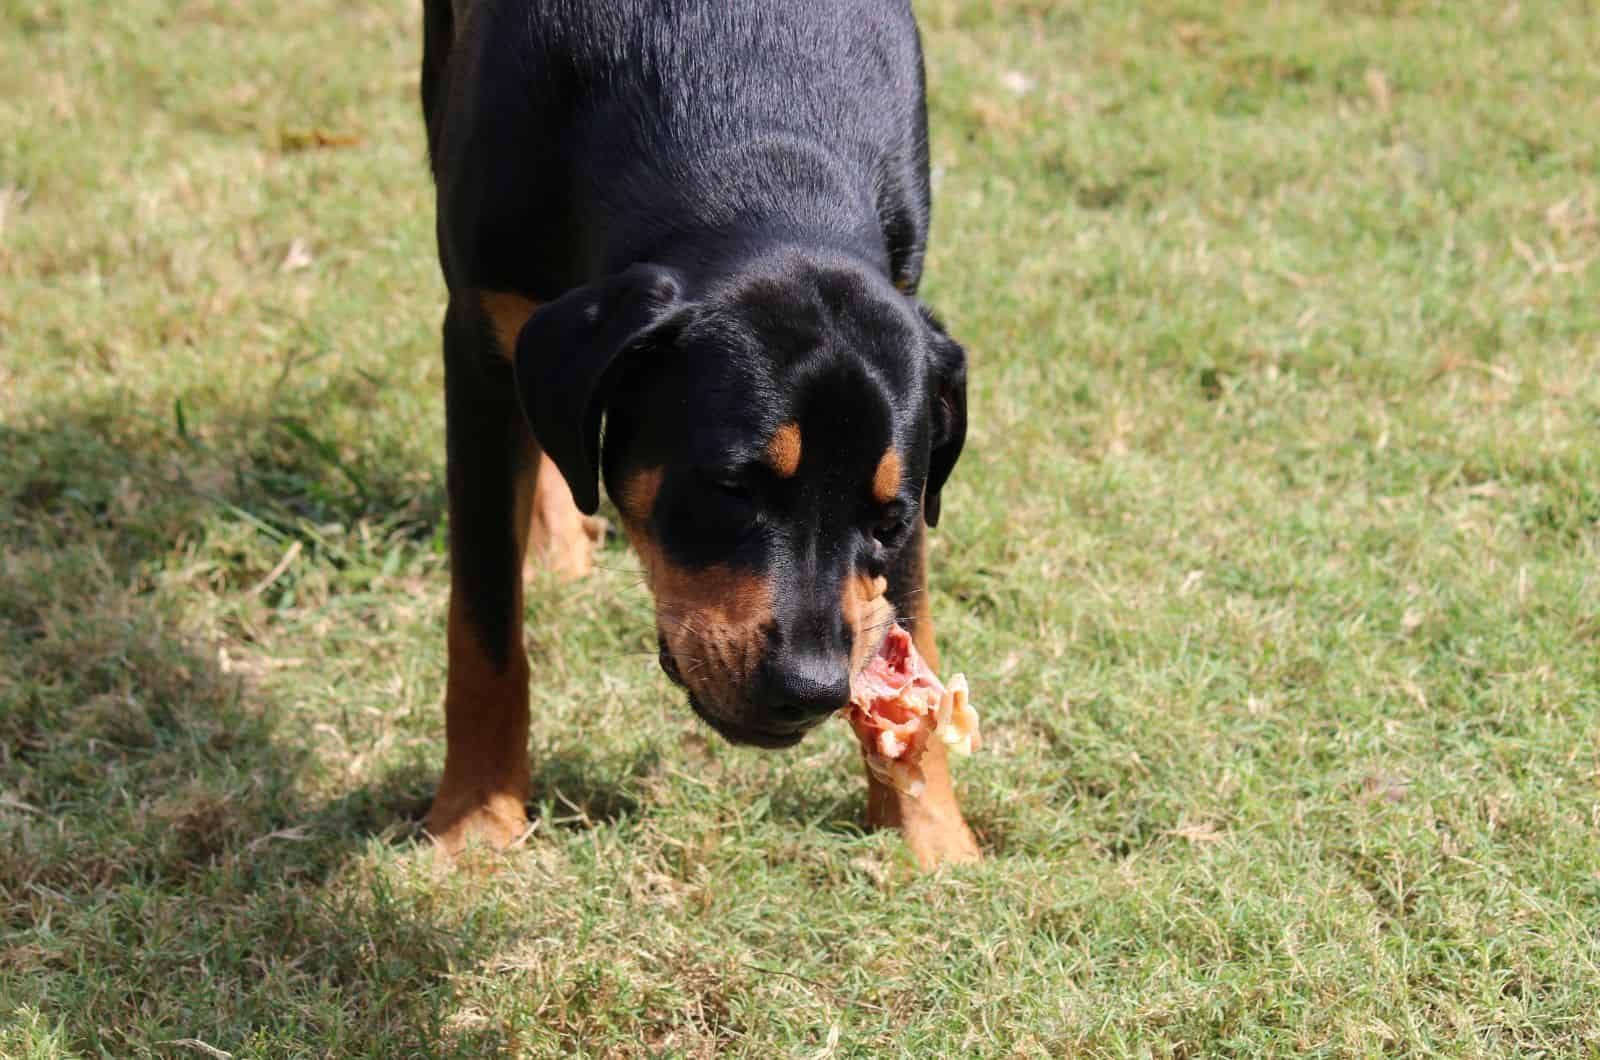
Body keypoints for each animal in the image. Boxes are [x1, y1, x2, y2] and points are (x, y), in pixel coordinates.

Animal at [419, 0, 979, 871]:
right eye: (728, 489)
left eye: (887, 521)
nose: (811, 689)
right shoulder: (478, 337)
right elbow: (483, 631)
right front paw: (477, 822)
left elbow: (910, 619)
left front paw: (931, 837)